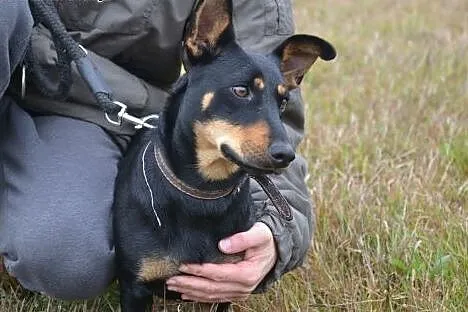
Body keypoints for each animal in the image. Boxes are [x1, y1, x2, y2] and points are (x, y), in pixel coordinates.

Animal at [112, 0, 332, 310]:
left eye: (283, 101)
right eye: (241, 90)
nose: (286, 155)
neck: (203, 193)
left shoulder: (225, 285)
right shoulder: (135, 287)